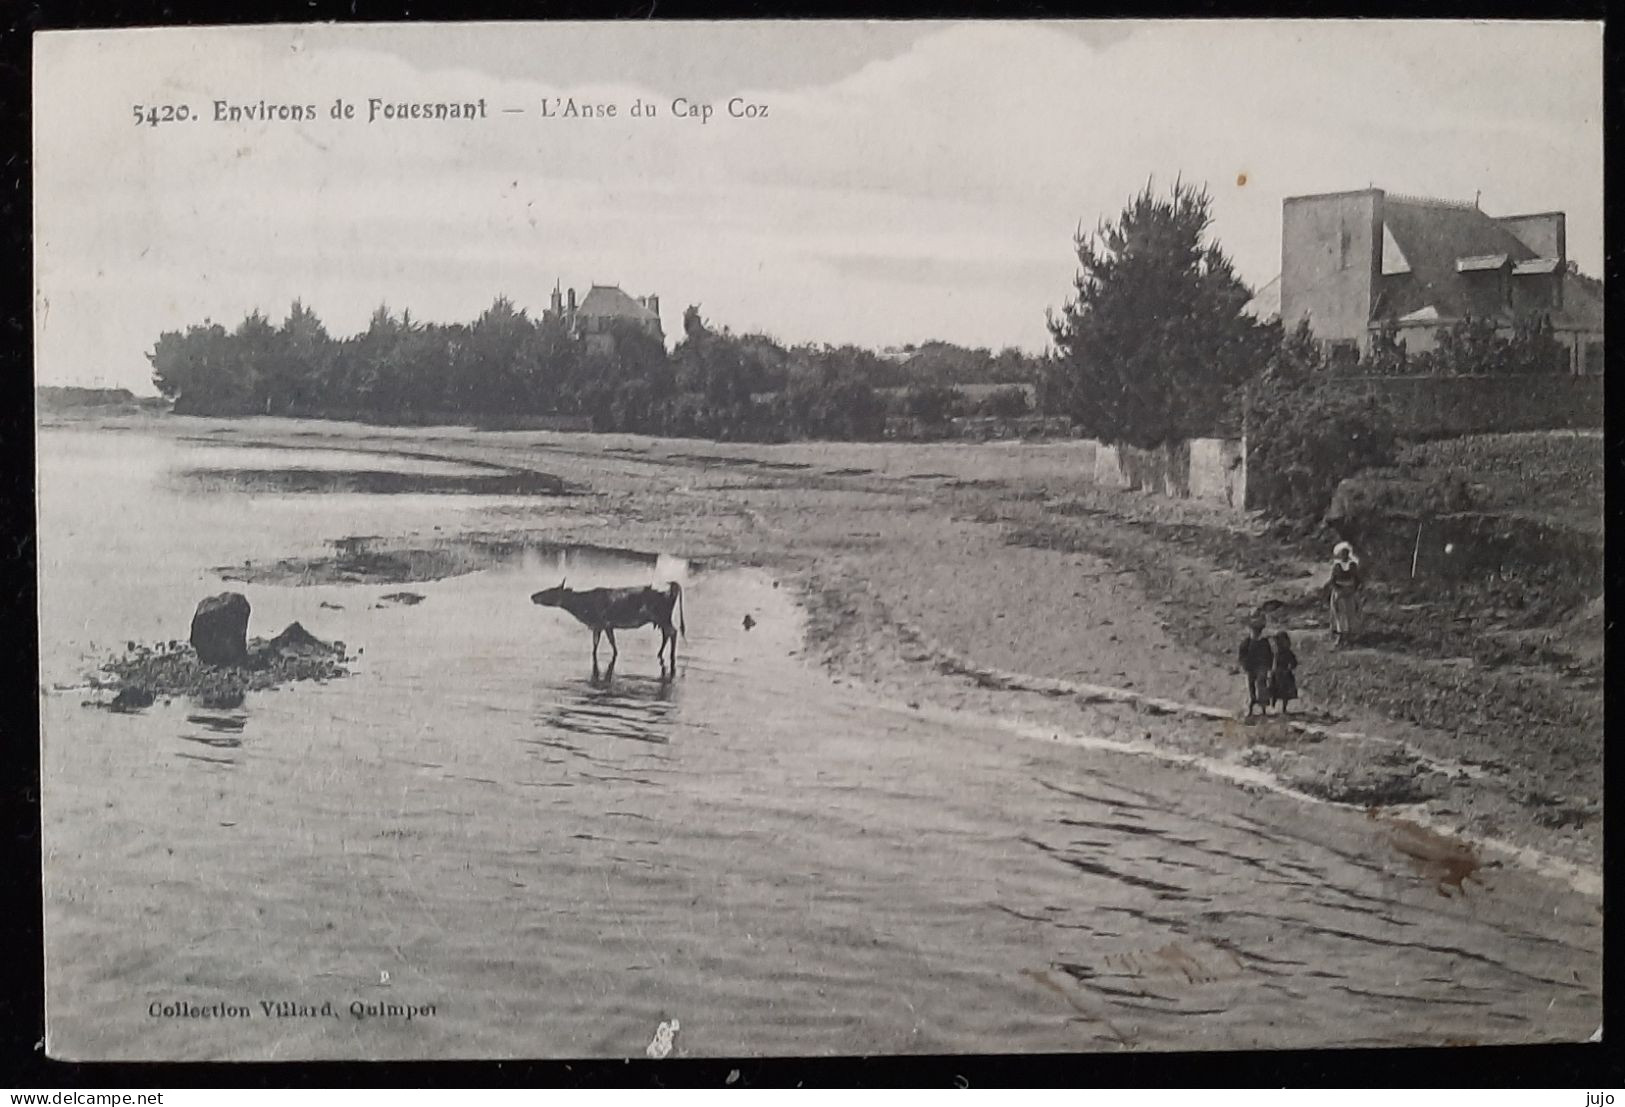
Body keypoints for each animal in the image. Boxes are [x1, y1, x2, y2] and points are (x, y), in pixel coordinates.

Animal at [533, 578, 685, 672]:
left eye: (550, 591)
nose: (533, 596)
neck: (583, 604)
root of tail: (671, 591)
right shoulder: (602, 626)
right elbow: (603, 644)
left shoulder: (602, 624)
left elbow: (606, 643)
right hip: (662, 620)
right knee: (667, 634)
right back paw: (660, 654)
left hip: (663, 618)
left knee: (673, 632)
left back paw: (670, 656)